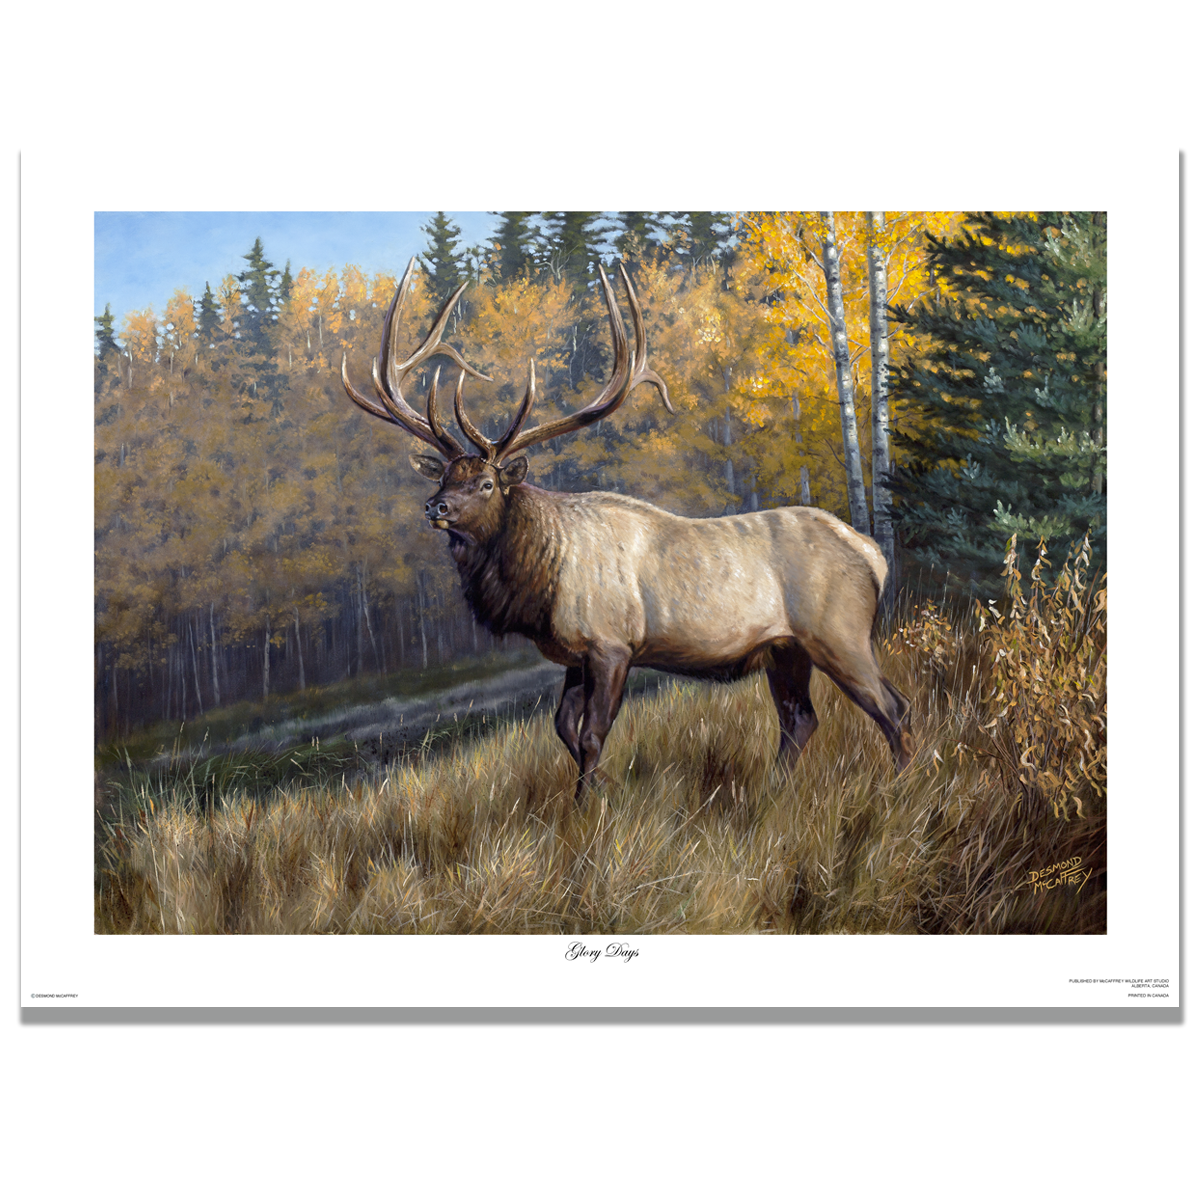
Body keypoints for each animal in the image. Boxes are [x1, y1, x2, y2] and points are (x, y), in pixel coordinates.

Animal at [342, 257, 914, 802]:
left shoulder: (612, 644)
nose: (434, 507)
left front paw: (589, 808)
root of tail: (874, 554)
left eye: (485, 483)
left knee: (893, 705)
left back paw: (903, 787)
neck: (541, 582)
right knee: (801, 718)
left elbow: (592, 734)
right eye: (444, 475)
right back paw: (775, 792)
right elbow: (564, 730)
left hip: (838, 631)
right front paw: (590, 793)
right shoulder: (575, 656)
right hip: (785, 648)